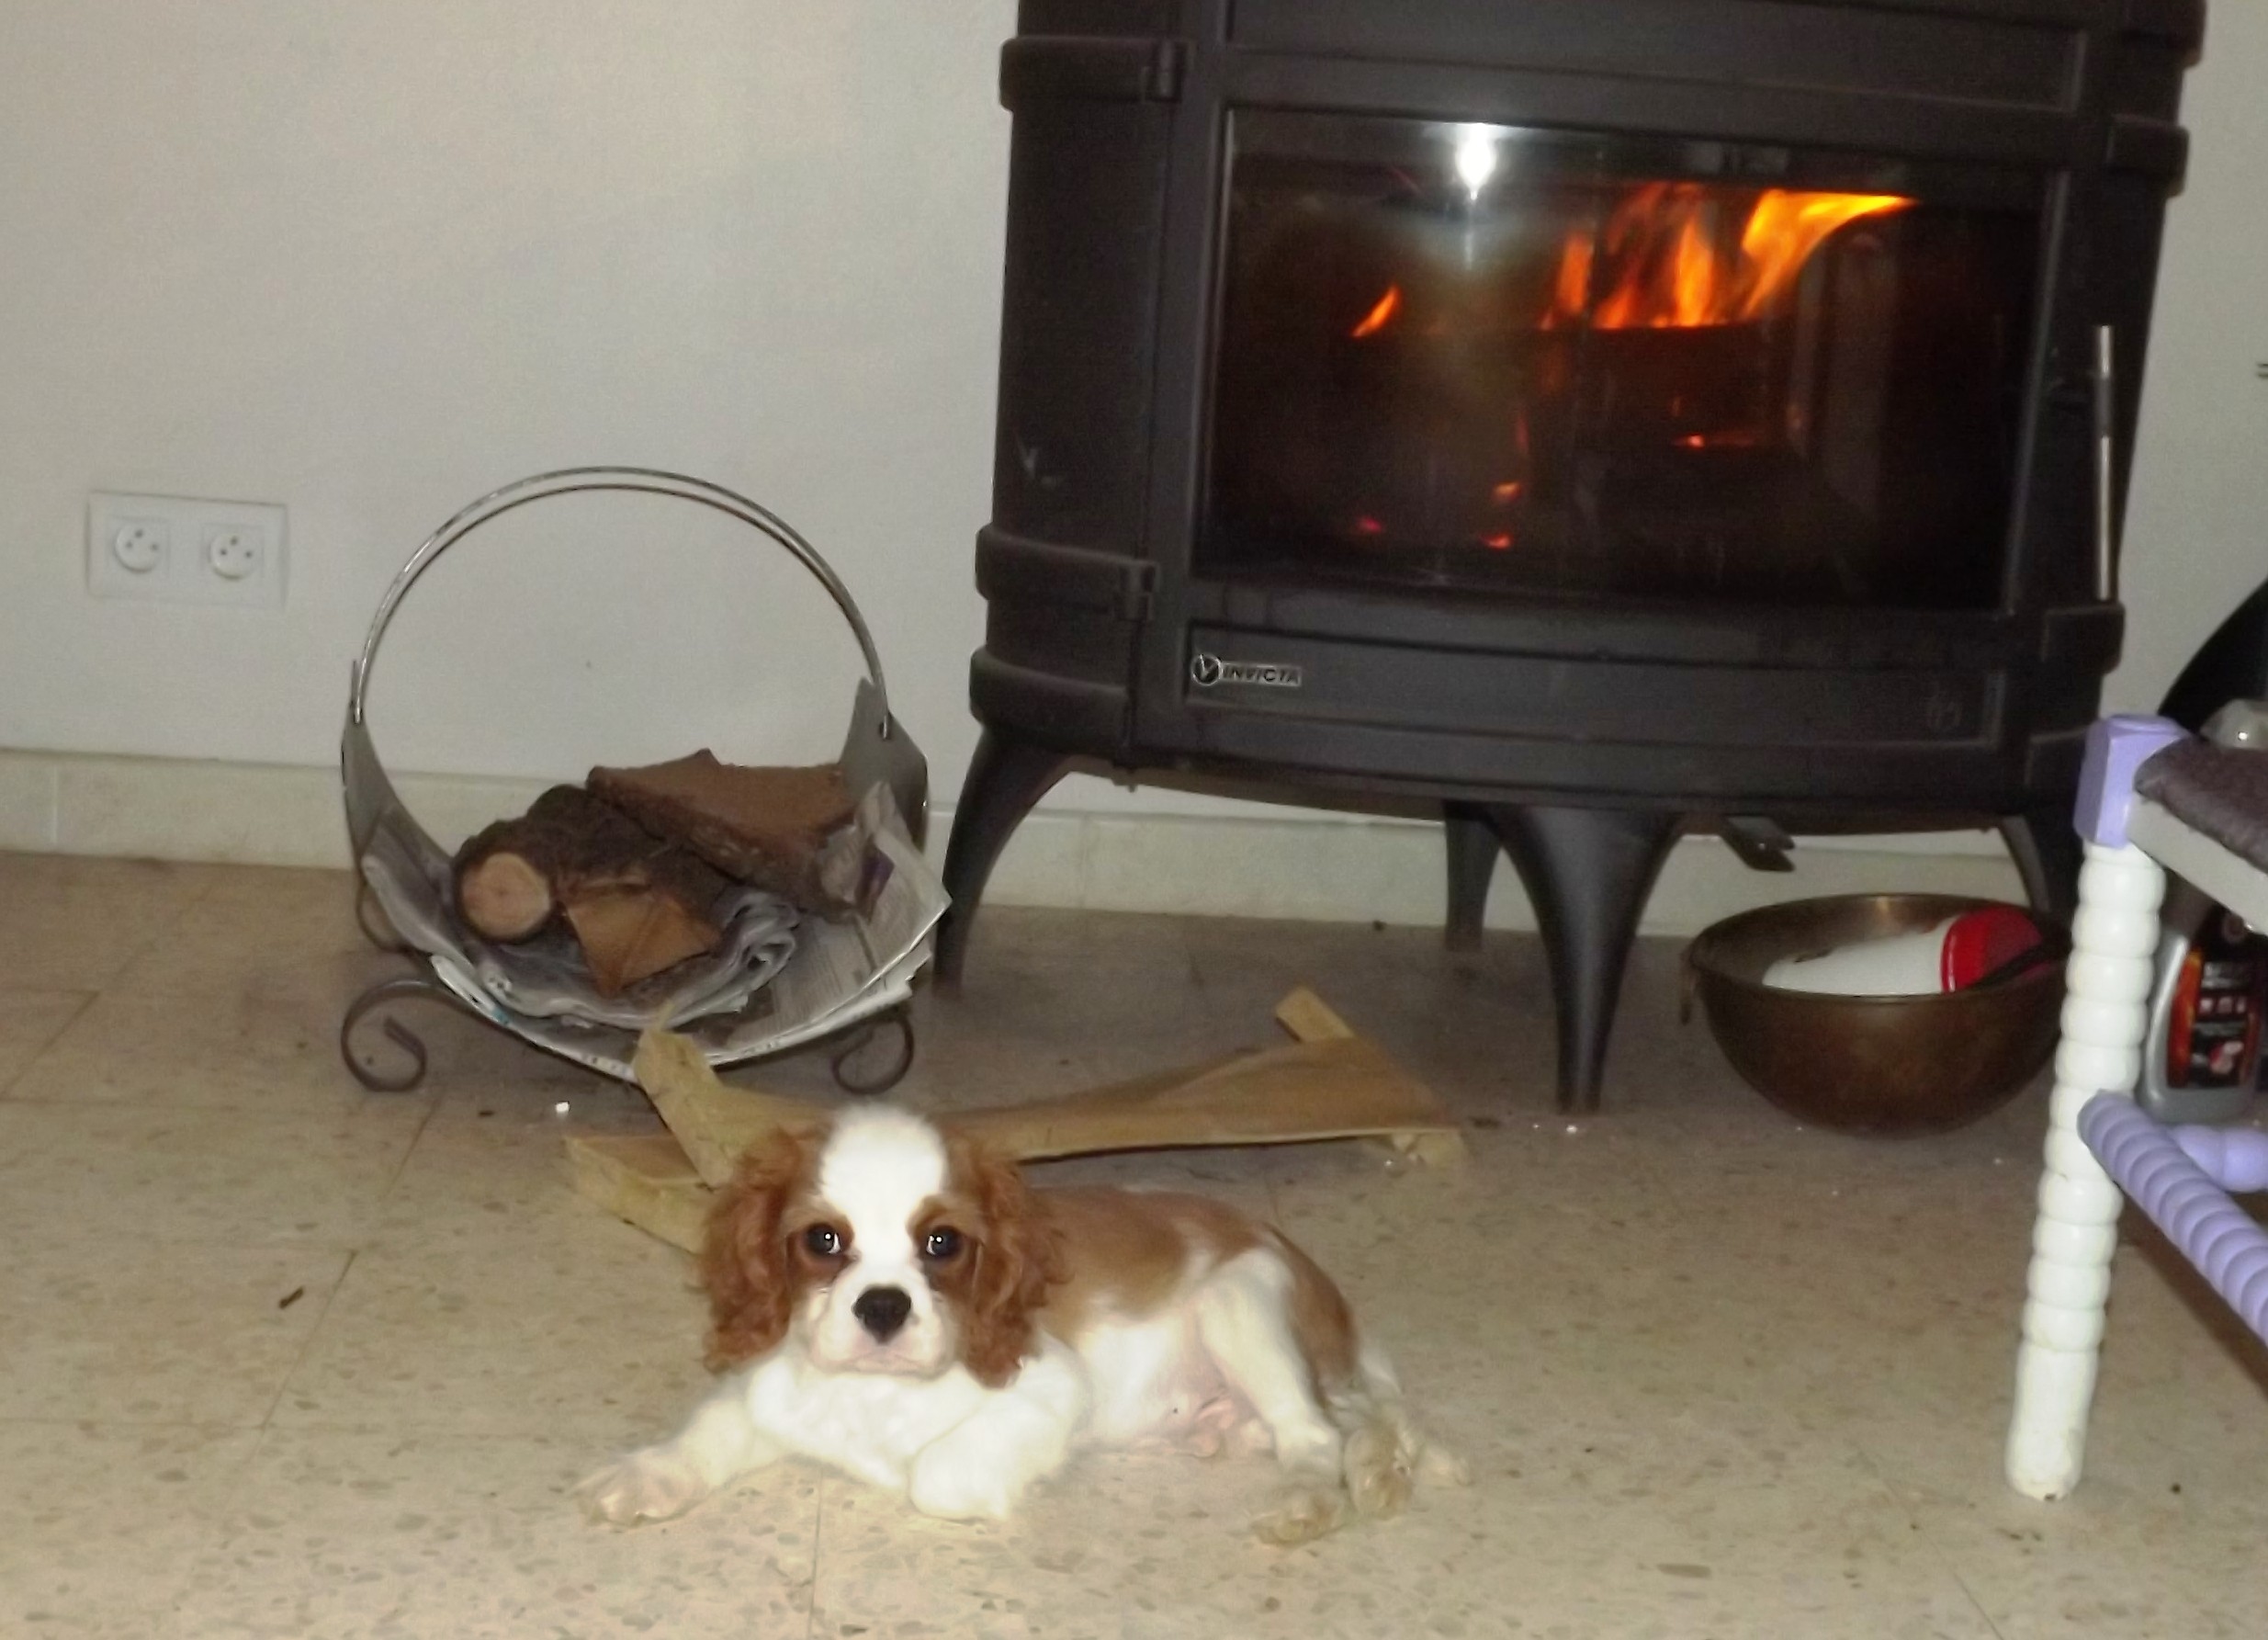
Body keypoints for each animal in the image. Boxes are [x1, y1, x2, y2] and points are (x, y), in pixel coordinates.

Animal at [577, 1106, 1463, 1543]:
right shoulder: (775, 1390)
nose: (882, 1305)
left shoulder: (1049, 1387)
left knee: (1315, 1433)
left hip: (1239, 1304)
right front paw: (645, 1476)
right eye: (821, 1241)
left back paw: (1307, 1502)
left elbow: (933, 1474)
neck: (872, 1392)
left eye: (943, 1243)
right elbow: (711, 1429)